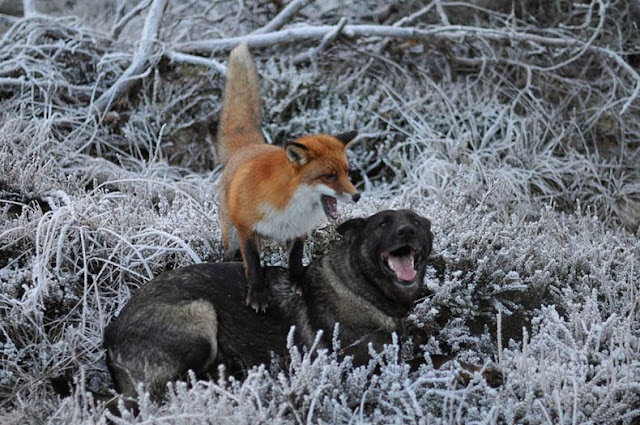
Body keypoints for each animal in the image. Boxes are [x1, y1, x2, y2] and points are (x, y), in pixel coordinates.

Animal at [105, 210, 432, 400]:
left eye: (417, 222)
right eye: (383, 224)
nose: (407, 231)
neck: (362, 286)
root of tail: (110, 337)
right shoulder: (362, 362)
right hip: (201, 315)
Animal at [219, 43, 360, 310]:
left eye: (347, 172)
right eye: (329, 175)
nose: (357, 196)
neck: (289, 204)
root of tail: (249, 147)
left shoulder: (298, 230)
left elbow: (295, 259)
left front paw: (298, 282)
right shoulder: (246, 229)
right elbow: (254, 265)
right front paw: (258, 294)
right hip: (230, 236)